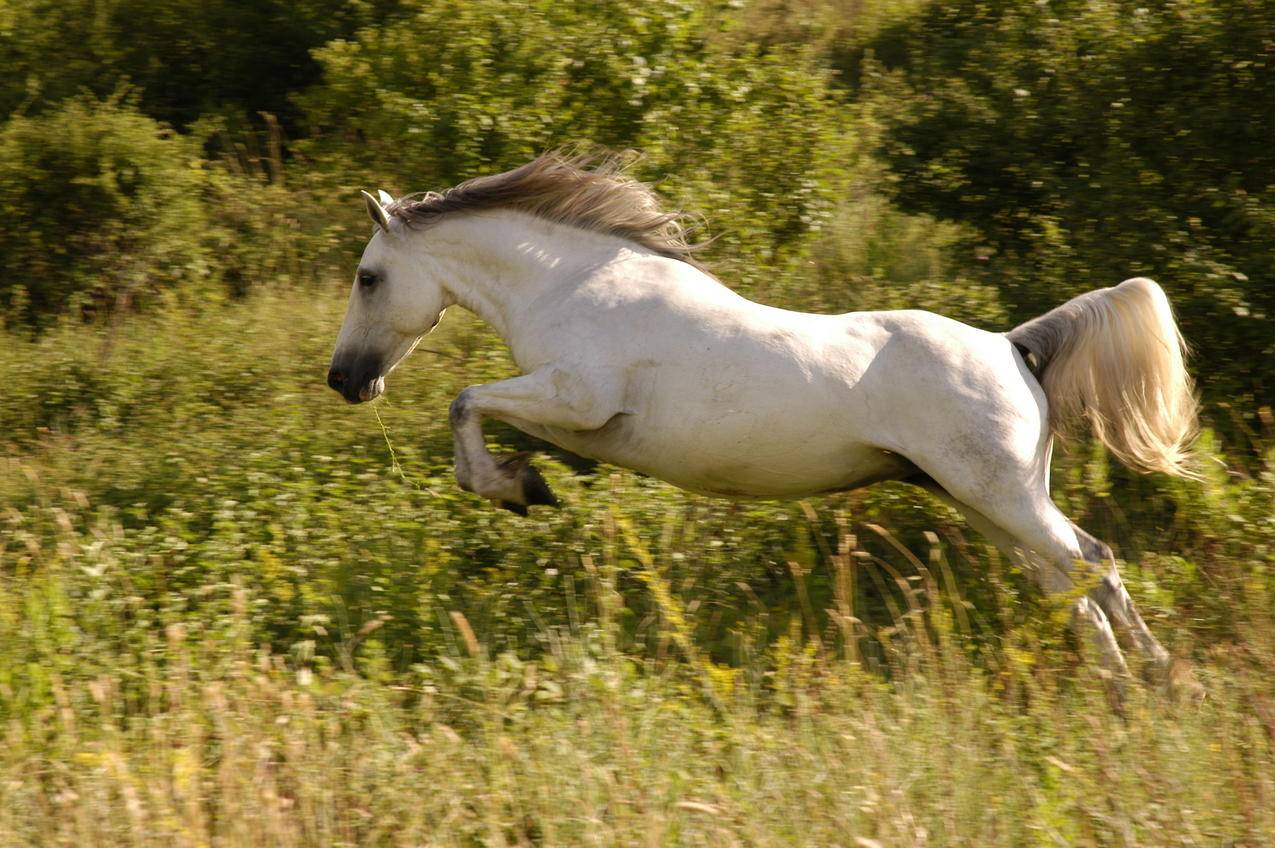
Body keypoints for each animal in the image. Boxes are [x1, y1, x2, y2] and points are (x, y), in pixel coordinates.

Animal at [326, 152, 1193, 678]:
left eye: (368, 277)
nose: (344, 380)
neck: (574, 285)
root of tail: (1012, 345)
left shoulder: (577, 396)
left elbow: (466, 400)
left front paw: (511, 487)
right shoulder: (570, 416)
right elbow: (486, 415)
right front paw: (523, 481)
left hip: (1000, 496)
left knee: (1093, 562)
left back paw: (1155, 681)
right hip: (983, 502)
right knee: (1066, 582)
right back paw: (1116, 685)